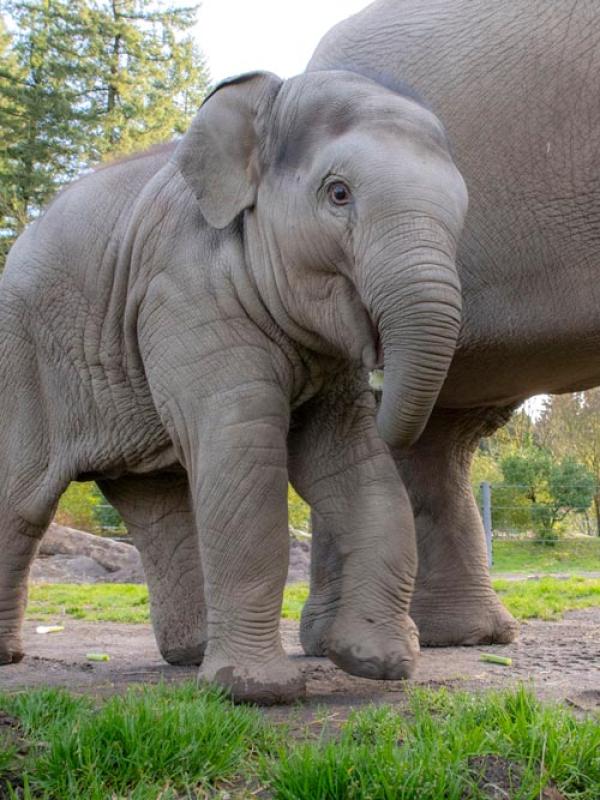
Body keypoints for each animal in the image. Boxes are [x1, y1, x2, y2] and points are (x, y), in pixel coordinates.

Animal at [0, 69, 467, 702]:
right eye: (338, 194)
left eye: (464, 212)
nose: (379, 371)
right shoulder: (183, 289)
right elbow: (243, 450)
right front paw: (257, 691)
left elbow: (352, 467)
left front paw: (376, 663)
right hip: (23, 361)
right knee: (21, 501)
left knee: (159, 508)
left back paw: (188, 655)